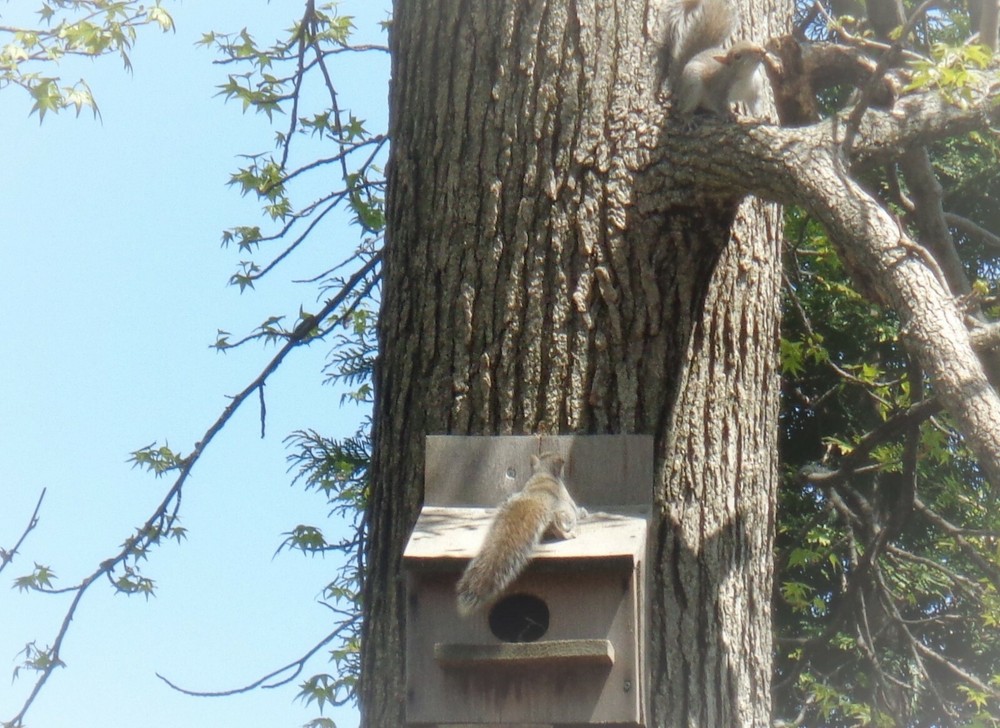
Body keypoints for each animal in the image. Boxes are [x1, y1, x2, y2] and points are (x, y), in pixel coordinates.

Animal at [456, 452, 585, 617]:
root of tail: (537, 499)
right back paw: (570, 534)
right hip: (566, 515)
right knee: (559, 526)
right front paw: (584, 512)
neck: (543, 474)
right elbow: (578, 511)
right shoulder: (569, 501)